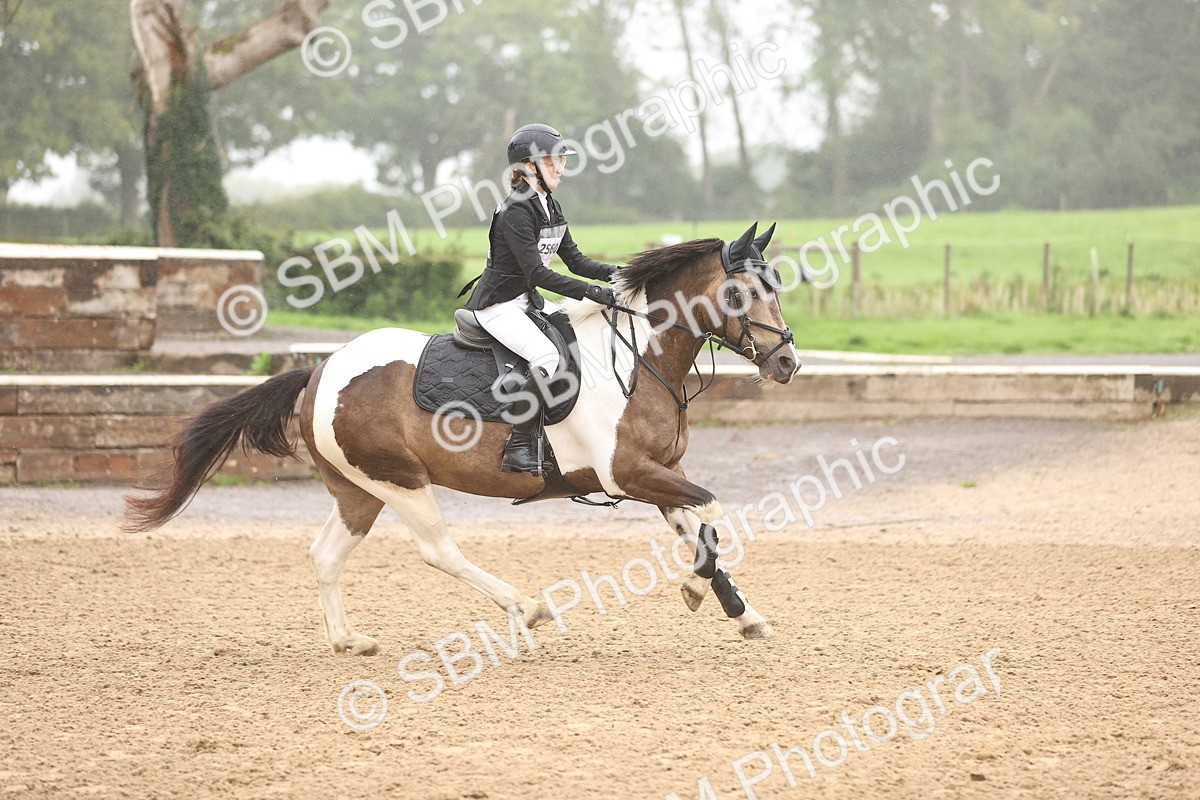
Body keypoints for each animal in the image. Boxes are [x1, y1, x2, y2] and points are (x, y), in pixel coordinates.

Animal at [124, 222, 800, 654]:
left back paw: (348, 641)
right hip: (399, 481)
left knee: (326, 554)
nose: (787, 363)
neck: (639, 357)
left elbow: (704, 533)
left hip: (360, 490)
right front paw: (694, 590)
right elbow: (714, 513)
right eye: (743, 292)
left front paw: (746, 618)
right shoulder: (629, 474)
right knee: (438, 550)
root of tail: (318, 372)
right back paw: (526, 607)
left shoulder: (660, 476)